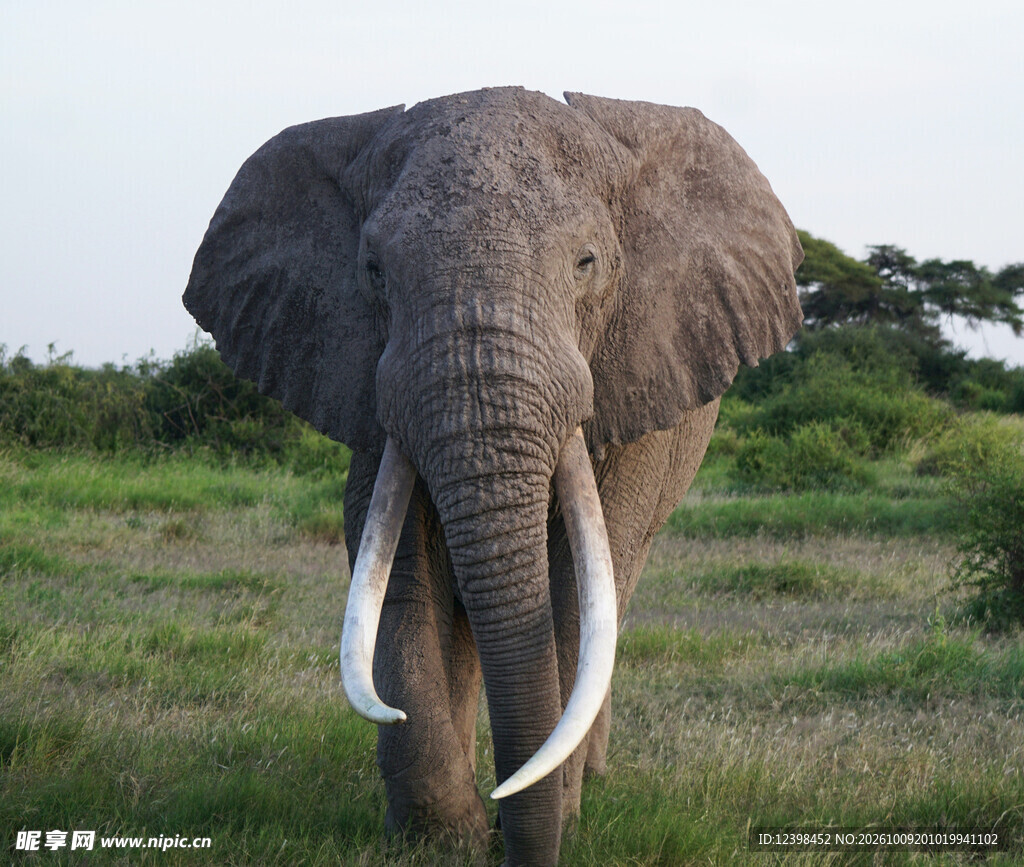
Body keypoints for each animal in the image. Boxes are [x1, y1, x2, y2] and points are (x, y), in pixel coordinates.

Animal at [183, 86, 802, 865]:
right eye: (374, 271)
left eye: (587, 263)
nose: (513, 842)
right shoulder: (370, 391)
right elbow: (402, 571)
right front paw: (441, 839)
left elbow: (575, 590)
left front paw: (551, 816)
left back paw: (587, 778)